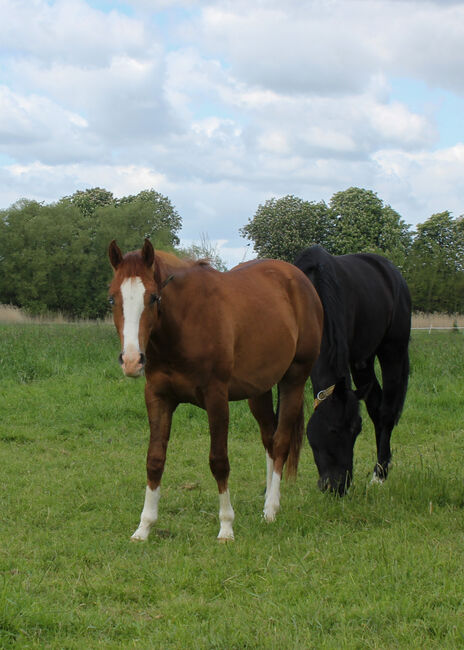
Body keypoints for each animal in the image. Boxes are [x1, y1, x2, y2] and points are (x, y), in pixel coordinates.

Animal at [108, 240, 322, 540]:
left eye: (152, 297)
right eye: (113, 299)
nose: (131, 361)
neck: (186, 322)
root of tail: (298, 280)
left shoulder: (216, 398)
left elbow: (219, 461)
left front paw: (226, 526)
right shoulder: (158, 397)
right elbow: (155, 459)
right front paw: (144, 527)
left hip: (294, 379)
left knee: (280, 442)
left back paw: (271, 509)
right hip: (259, 390)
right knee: (269, 439)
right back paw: (267, 500)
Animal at [296, 246, 412, 494]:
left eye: (357, 430)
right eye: (332, 430)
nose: (338, 487)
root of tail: (393, 273)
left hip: (392, 350)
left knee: (386, 412)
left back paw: (380, 474)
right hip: (363, 362)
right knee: (375, 406)